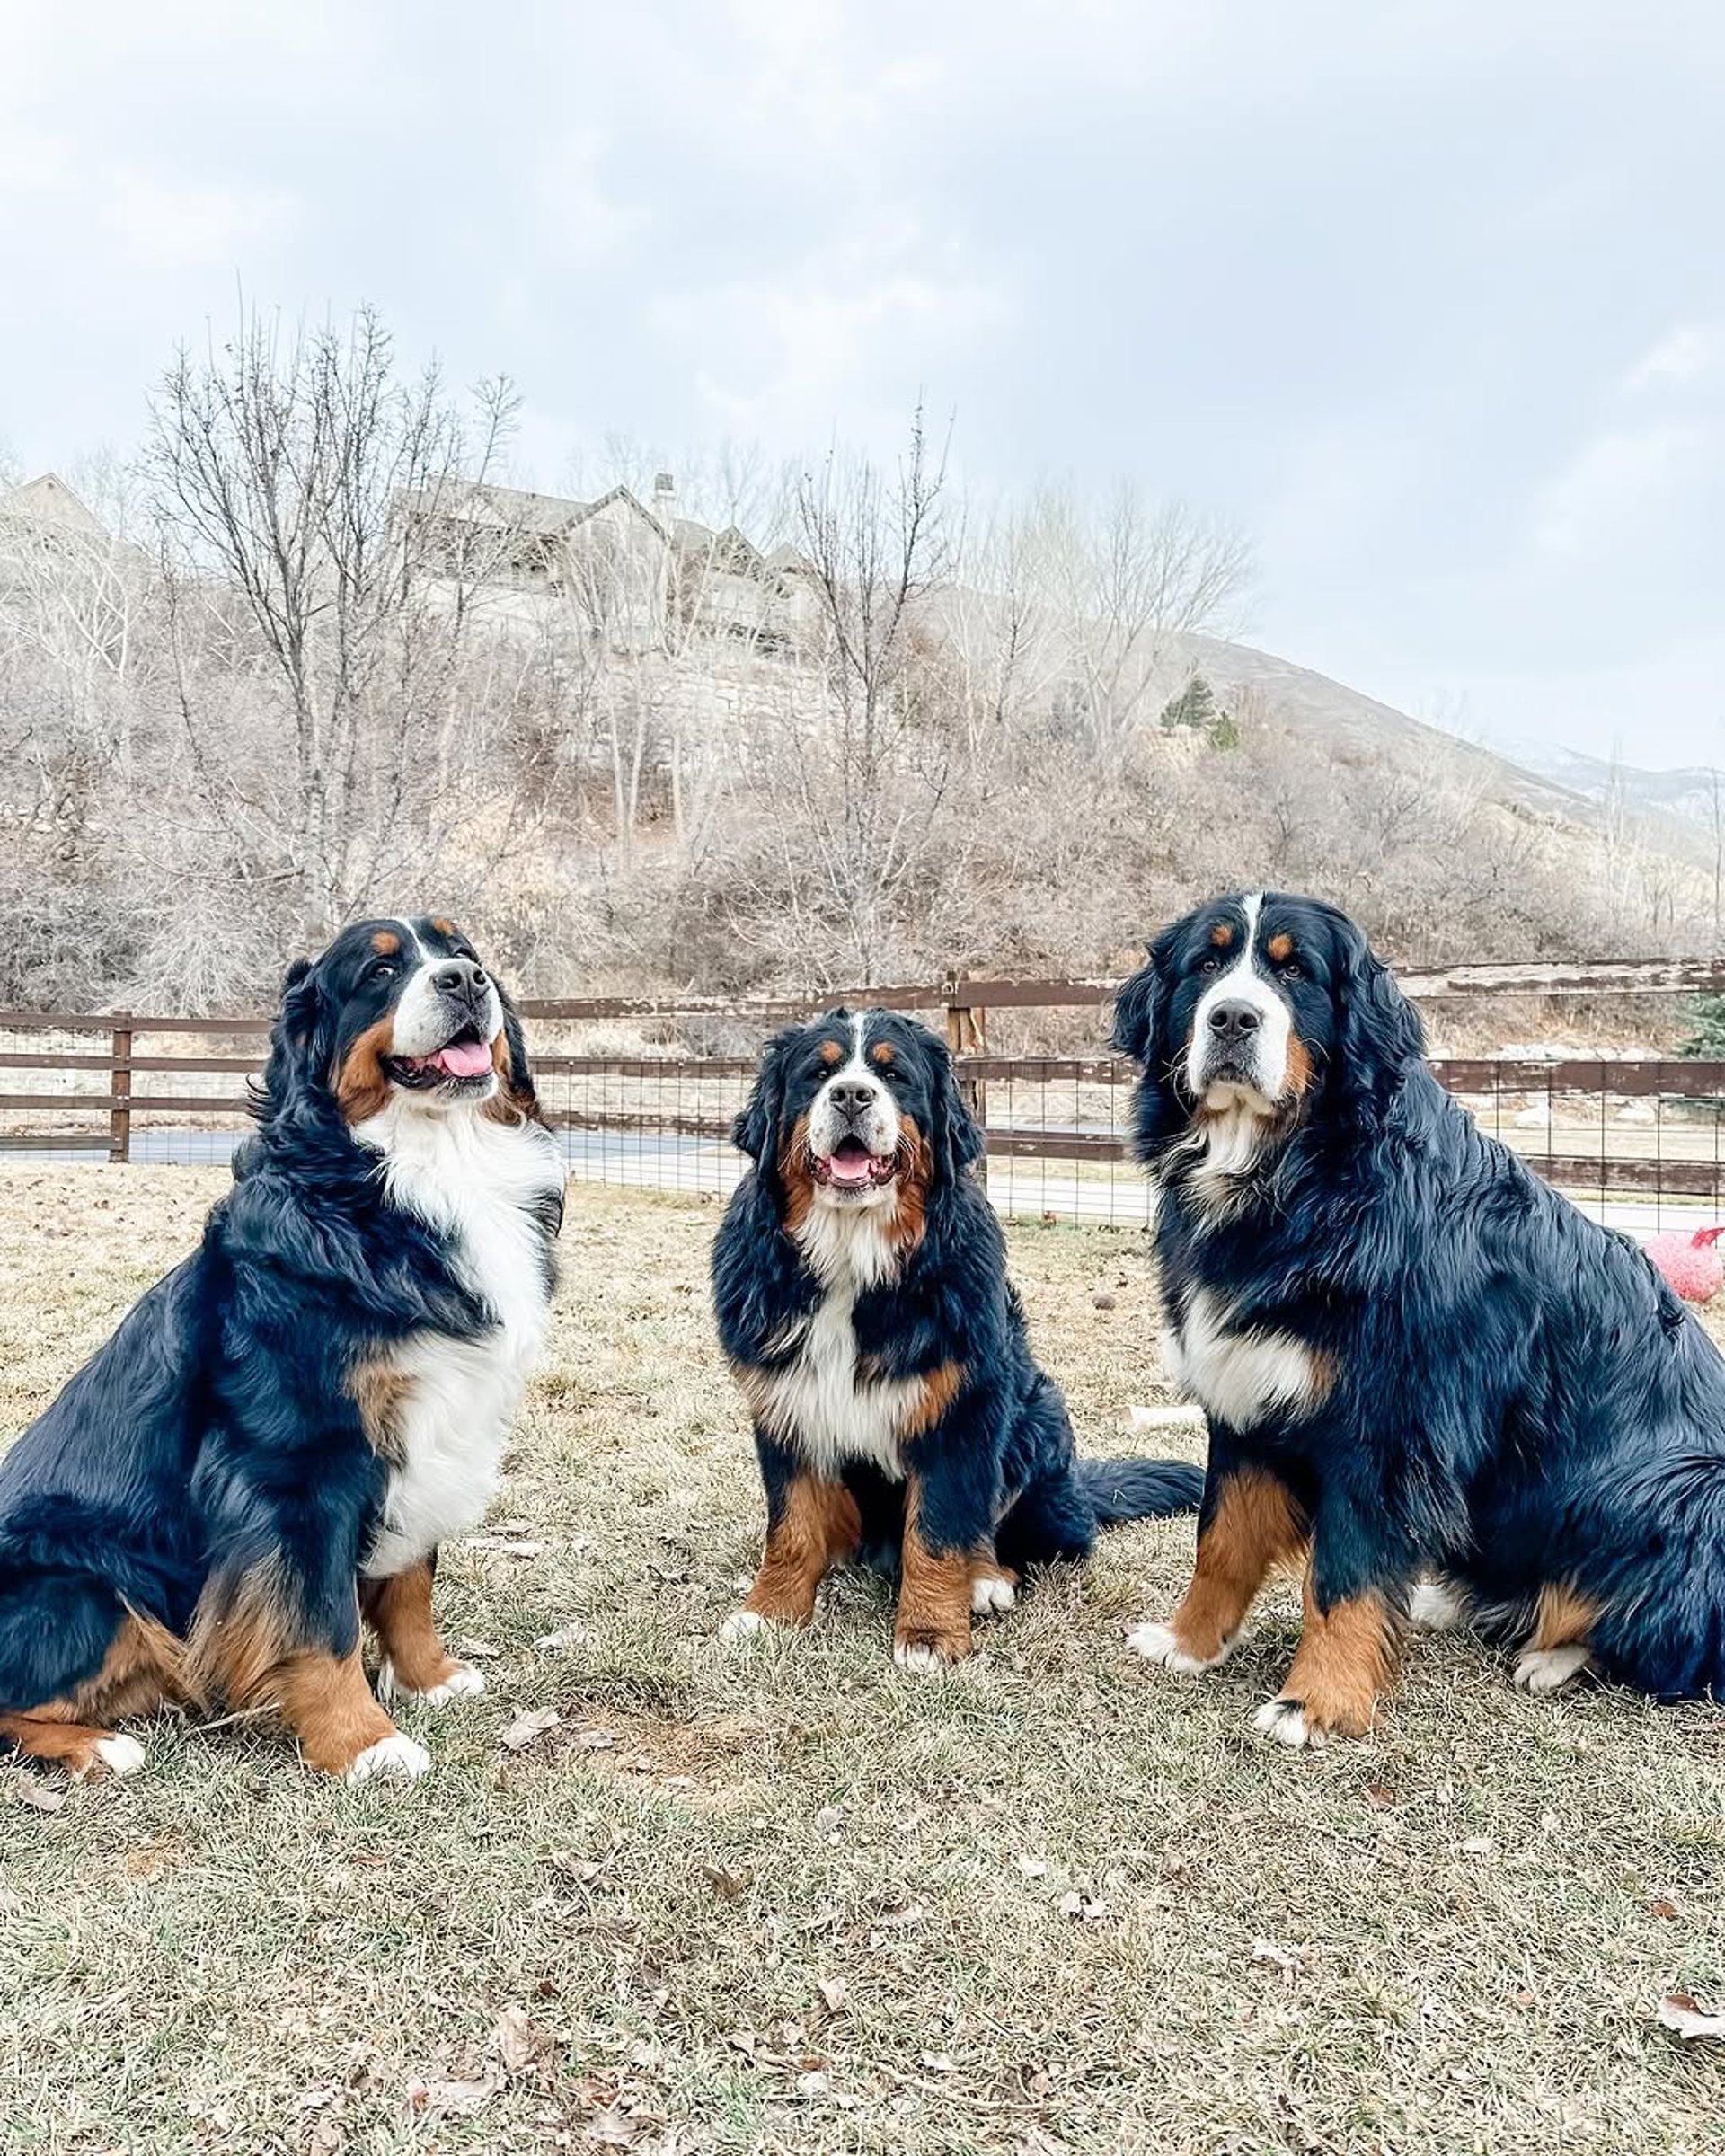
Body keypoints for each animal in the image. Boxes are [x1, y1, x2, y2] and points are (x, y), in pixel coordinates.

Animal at [707, 1009, 1208, 1664]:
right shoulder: (787, 1405)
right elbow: (790, 1526)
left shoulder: (958, 1411)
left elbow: (939, 1529)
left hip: (1035, 1418)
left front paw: (928, 1634)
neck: (852, 1260)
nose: (851, 1094)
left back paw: (986, 1579)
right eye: (817, 1074)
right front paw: (768, 1613)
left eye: (894, 1075)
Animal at [1112, 892, 1725, 1750]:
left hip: (1679, 1487)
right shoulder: (1245, 1394)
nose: (1232, 1018)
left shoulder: (1388, 1424)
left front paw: (1317, 1703)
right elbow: (1221, 1539)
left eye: (1296, 971)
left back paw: (1553, 1655)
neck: (1298, 1177)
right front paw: (1190, 1642)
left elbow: (1345, 1577)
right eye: (1207, 962)